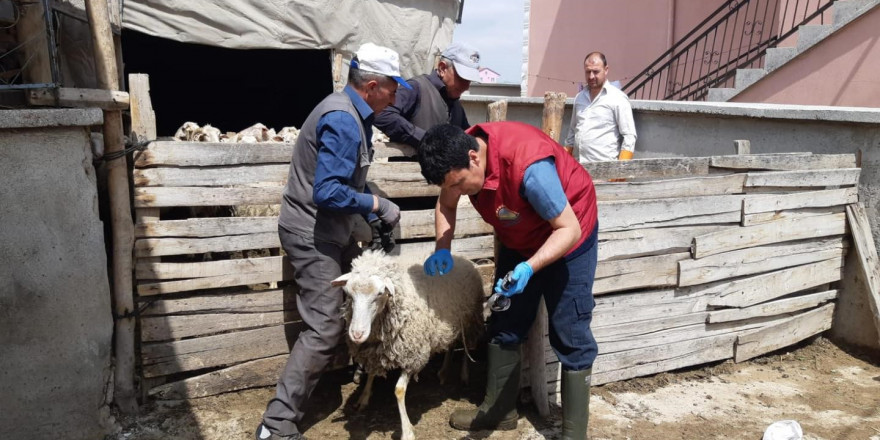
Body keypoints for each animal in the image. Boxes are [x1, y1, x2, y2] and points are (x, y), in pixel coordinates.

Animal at [332, 249, 484, 440]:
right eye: (349, 293)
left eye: (380, 293)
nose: (357, 334)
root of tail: (462, 257)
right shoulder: (377, 351)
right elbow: (372, 373)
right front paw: (364, 398)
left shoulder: (413, 355)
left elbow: (398, 390)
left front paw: (407, 431)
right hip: (450, 322)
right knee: (450, 345)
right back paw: (443, 372)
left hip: (468, 317)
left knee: (465, 348)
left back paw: (464, 375)